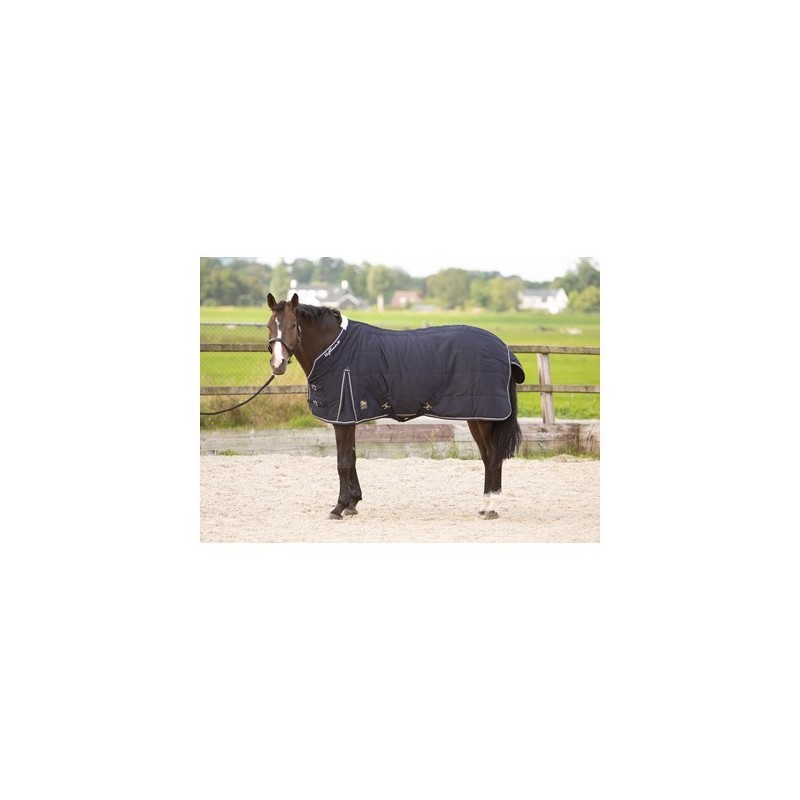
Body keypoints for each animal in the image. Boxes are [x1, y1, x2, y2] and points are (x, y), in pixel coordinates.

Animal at [266, 293, 525, 520]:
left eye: (292, 326)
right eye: (269, 326)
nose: (278, 365)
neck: (335, 350)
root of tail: (503, 348)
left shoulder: (343, 418)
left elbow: (343, 462)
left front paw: (339, 507)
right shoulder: (350, 417)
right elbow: (353, 459)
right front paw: (353, 503)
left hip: (486, 418)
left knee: (493, 458)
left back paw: (492, 508)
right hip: (476, 417)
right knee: (487, 457)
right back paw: (484, 506)